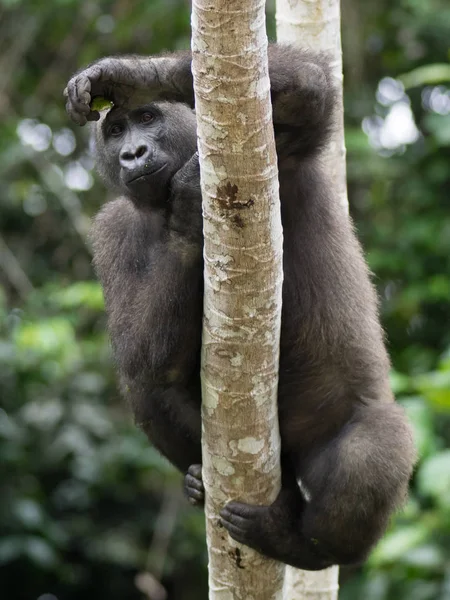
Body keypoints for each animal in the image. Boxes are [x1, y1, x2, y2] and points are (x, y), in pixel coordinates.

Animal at [65, 44, 416, 568]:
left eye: (146, 118)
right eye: (115, 133)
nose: (132, 153)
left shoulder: (278, 152)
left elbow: (307, 90)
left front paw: (132, 75)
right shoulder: (111, 229)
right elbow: (141, 355)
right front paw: (187, 210)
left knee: (371, 450)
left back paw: (300, 543)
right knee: (146, 387)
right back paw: (207, 482)